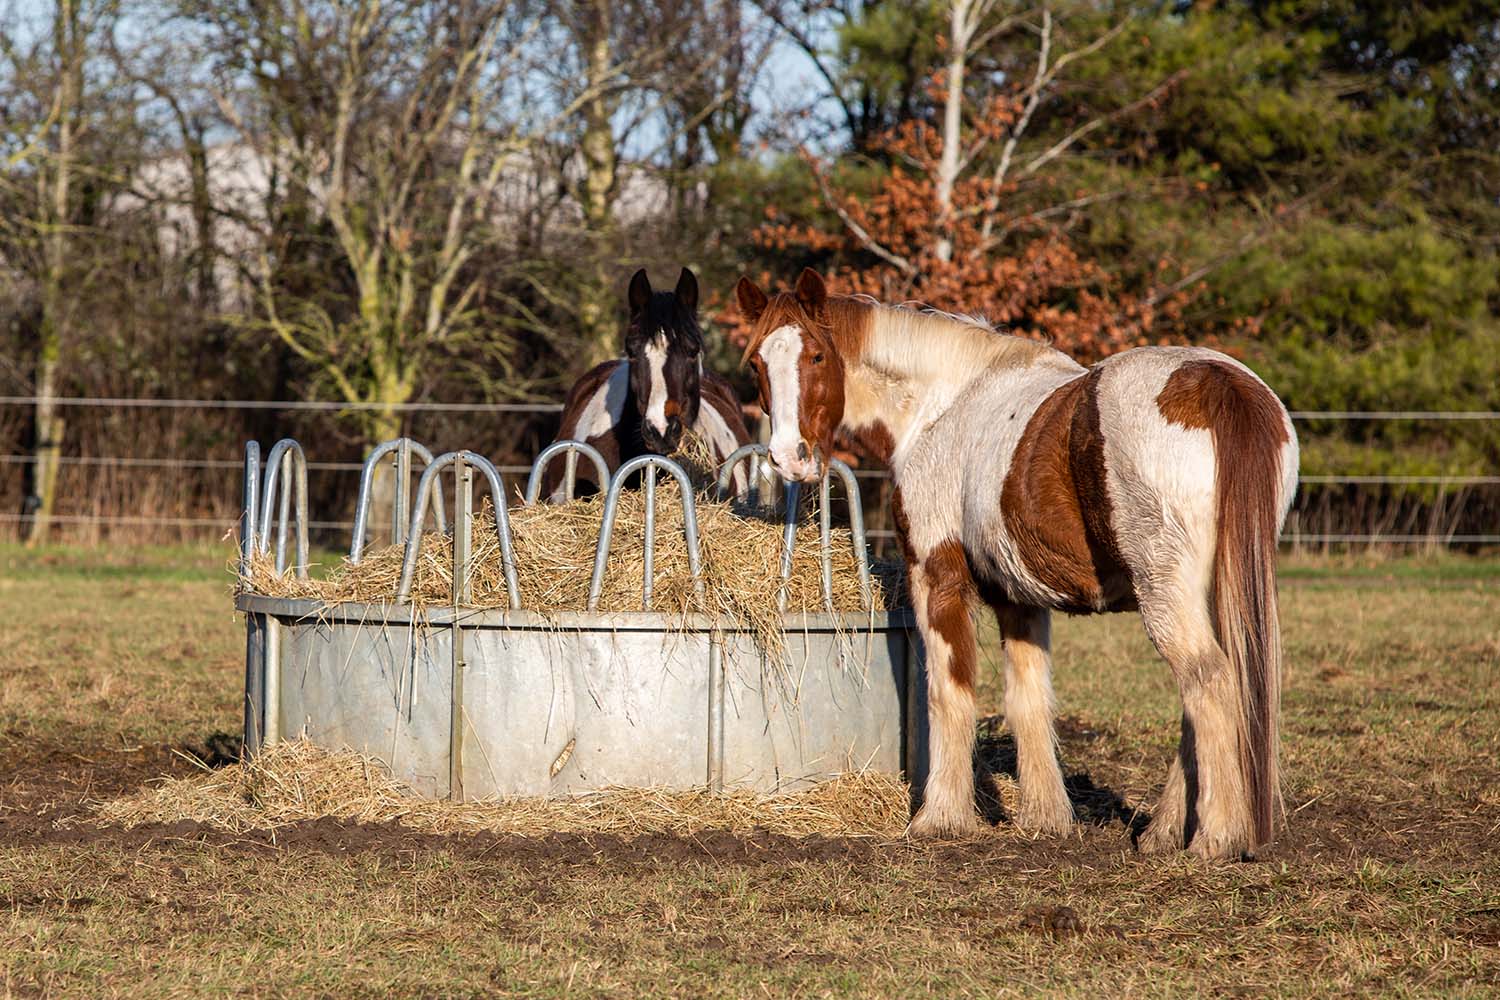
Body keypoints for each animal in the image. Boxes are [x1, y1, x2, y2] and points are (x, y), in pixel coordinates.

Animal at [732, 268, 1296, 863]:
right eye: (756, 364)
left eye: (817, 356)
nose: (789, 458)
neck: (944, 403)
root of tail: (1216, 382)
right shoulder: (1019, 598)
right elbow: (1029, 700)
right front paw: (1046, 817)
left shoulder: (938, 577)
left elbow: (949, 692)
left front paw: (941, 817)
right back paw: (1164, 830)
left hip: (1165, 592)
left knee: (1208, 680)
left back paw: (1216, 837)